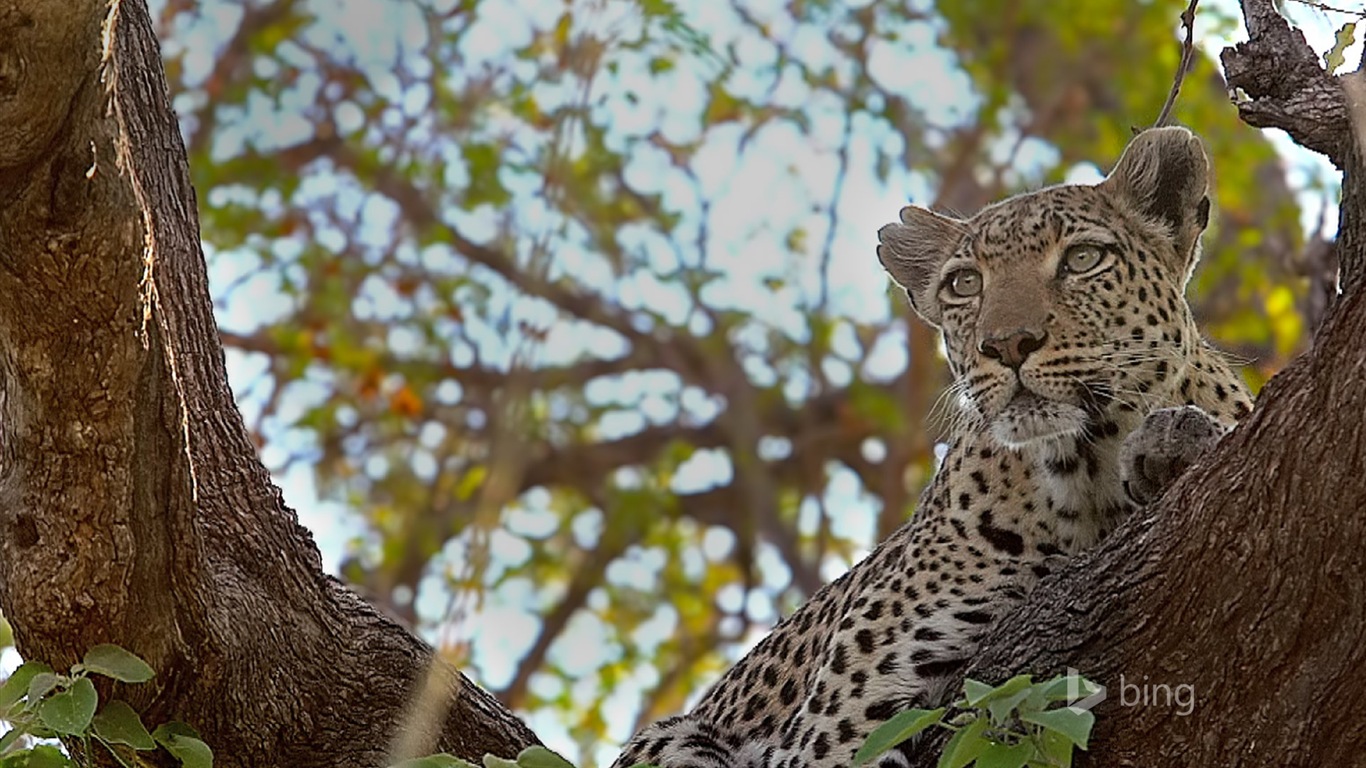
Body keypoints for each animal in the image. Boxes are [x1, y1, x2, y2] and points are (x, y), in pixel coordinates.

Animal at [614, 127, 1251, 765]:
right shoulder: (846, 712)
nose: (1008, 344)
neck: (1084, 472)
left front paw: (1172, 442)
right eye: (965, 284)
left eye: (1082, 260)